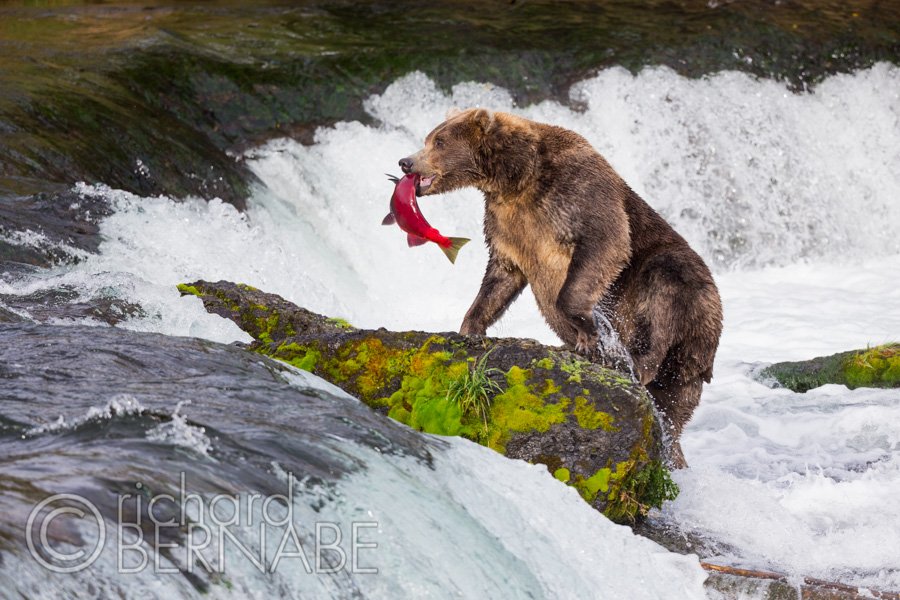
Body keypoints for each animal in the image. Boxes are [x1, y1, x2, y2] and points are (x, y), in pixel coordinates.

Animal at [399, 108, 723, 467]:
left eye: (439, 141)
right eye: (429, 138)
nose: (406, 162)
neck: (515, 178)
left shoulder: (576, 192)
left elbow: (605, 244)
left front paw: (587, 331)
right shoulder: (508, 225)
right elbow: (499, 278)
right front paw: (470, 328)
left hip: (685, 292)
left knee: (660, 300)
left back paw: (634, 362)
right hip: (685, 375)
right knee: (673, 407)